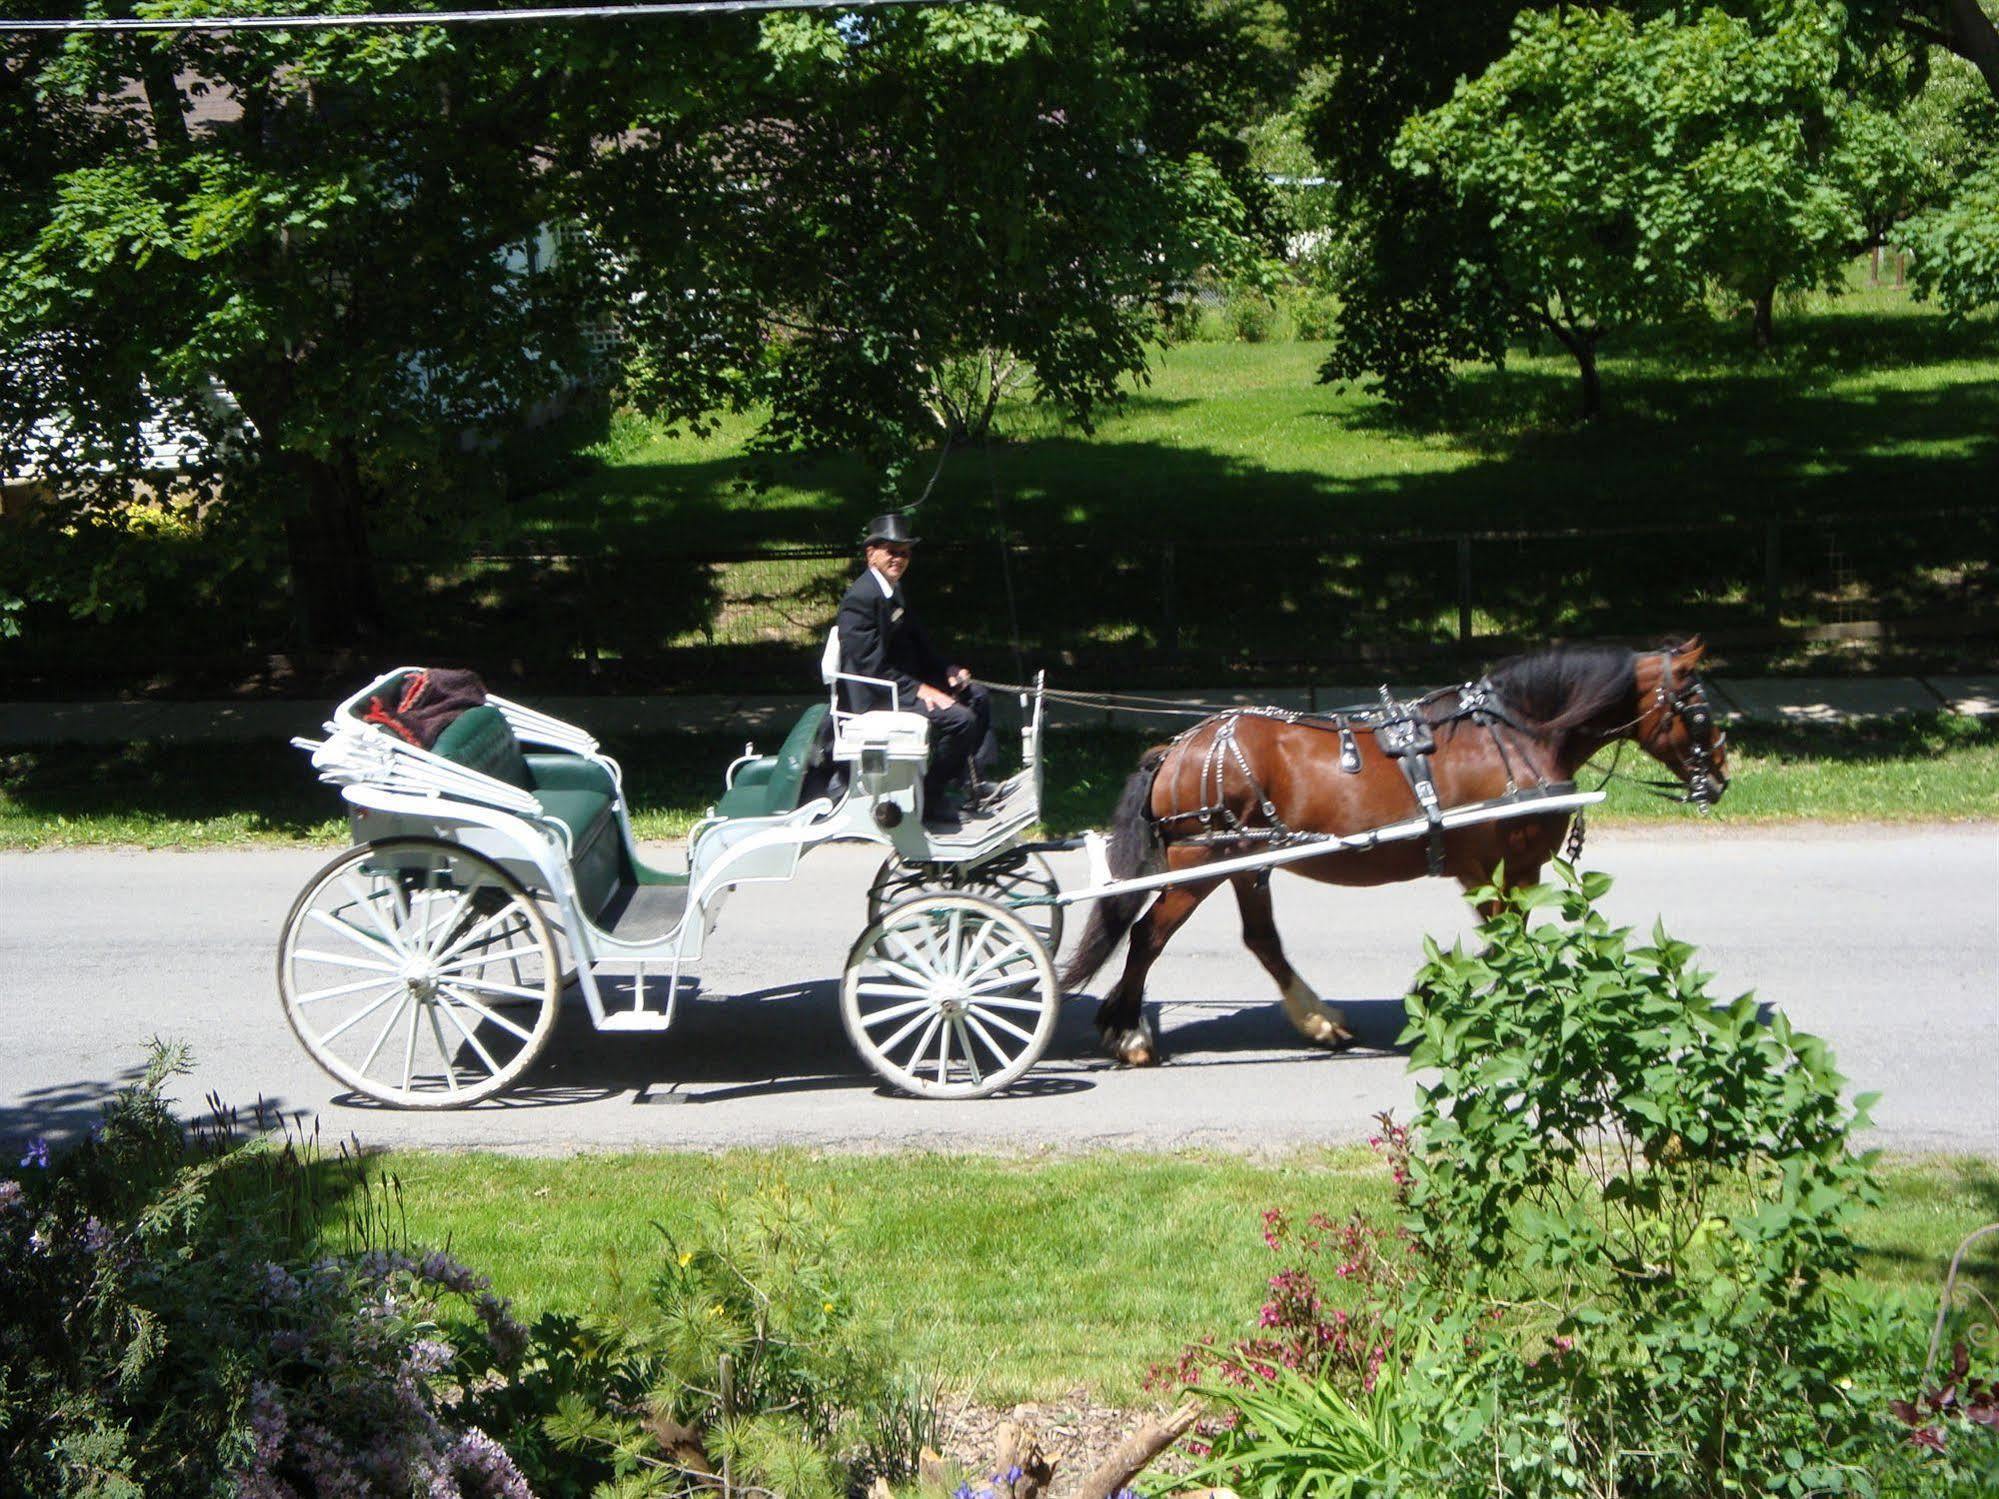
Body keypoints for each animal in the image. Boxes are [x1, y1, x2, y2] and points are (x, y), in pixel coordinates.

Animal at [1063, 635, 1735, 1071]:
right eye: (1701, 713)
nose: (1721, 780)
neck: (1513, 734)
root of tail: (1179, 747)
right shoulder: (1500, 869)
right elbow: (1509, 945)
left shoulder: (1496, 873)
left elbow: (1504, 945)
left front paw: (1441, 994)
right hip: (1200, 864)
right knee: (1148, 936)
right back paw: (1127, 1032)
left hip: (1246, 860)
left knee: (1260, 939)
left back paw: (1317, 1019)